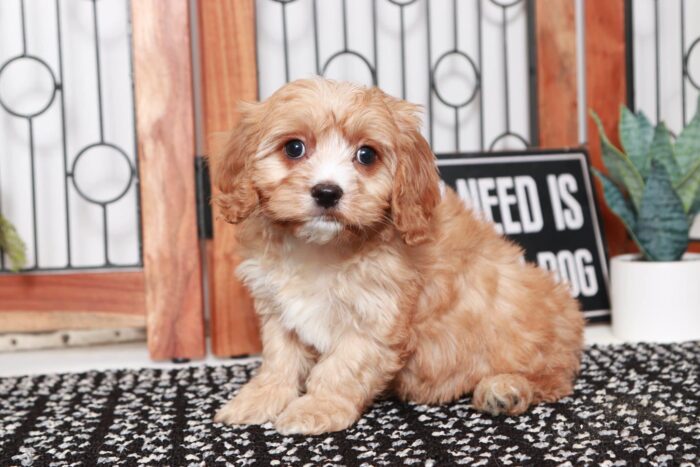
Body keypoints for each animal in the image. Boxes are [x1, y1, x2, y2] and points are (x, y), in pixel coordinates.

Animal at [213, 79, 584, 436]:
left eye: (366, 155)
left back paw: (505, 389)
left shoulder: (374, 319)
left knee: (552, 379)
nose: (327, 192)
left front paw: (316, 408)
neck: (321, 247)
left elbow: (340, 367)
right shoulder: (279, 310)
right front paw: (259, 399)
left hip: (528, 324)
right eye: (294, 148)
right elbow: (280, 359)